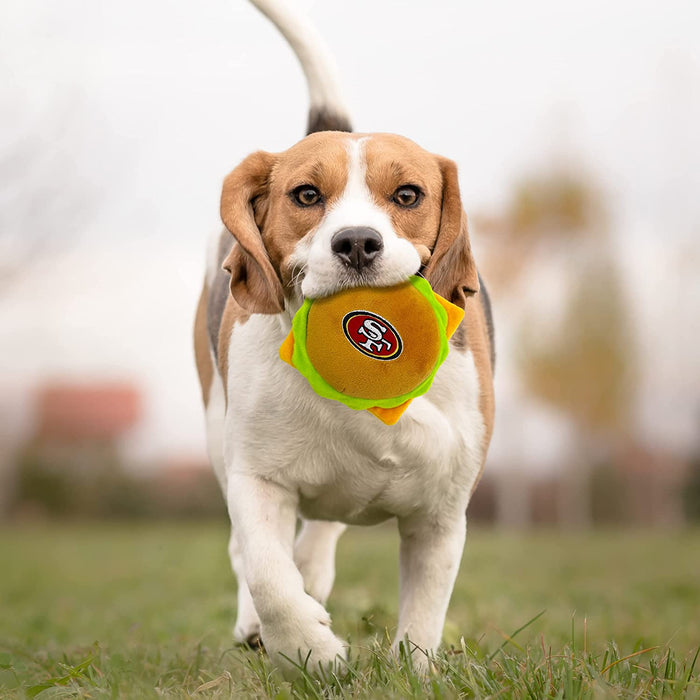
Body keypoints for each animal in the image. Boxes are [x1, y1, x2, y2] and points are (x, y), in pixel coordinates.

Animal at [194, 0, 494, 676]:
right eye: (306, 195)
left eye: (407, 194)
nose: (357, 242)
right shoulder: (255, 477)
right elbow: (267, 574)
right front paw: (312, 650)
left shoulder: (441, 514)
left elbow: (425, 614)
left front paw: (414, 672)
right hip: (216, 429)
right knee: (248, 554)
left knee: (322, 530)